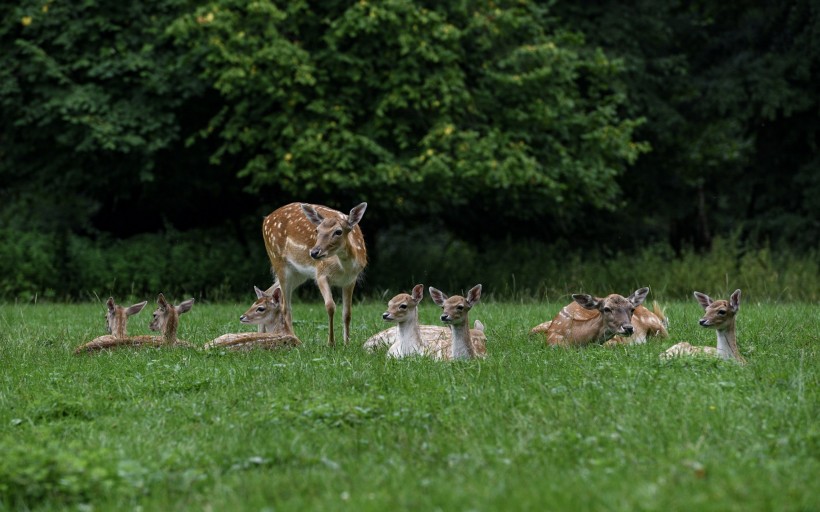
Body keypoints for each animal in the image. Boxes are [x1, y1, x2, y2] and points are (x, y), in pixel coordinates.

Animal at [262, 202, 368, 346]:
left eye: (338, 231)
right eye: (317, 230)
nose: (314, 252)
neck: (343, 268)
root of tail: (266, 219)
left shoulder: (350, 280)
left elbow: (347, 313)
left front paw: (347, 343)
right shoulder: (321, 273)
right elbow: (330, 306)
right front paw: (331, 343)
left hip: (298, 274)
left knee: (268, 291)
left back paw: (263, 334)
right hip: (279, 262)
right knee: (286, 307)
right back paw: (292, 338)